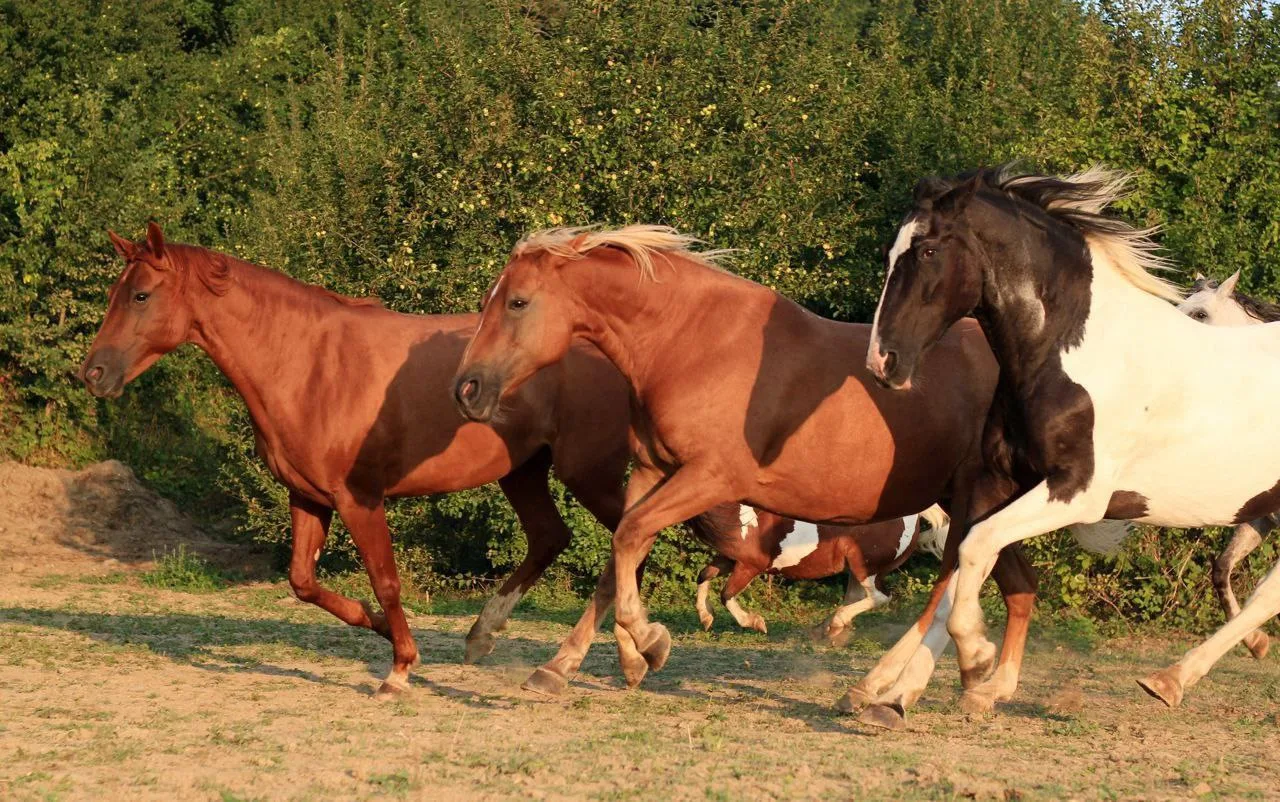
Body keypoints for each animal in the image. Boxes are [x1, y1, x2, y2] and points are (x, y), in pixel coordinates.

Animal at [79, 223, 631, 697]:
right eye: (113, 294)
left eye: (141, 295)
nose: (93, 373)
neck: (308, 364)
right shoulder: (308, 496)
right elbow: (303, 583)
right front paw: (382, 628)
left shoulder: (359, 498)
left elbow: (385, 580)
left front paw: (400, 668)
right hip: (524, 471)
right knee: (551, 537)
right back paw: (485, 636)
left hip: (589, 474)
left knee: (627, 539)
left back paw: (599, 662)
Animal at [691, 504, 949, 641]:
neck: (745, 517)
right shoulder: (729, 559)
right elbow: (704, 575)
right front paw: (705, 617)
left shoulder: (749, 565)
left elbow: (727, 594)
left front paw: (755, 622)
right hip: (856, 569)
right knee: (857, 597)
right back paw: (827, 627)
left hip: (865, 567)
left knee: (878, 597)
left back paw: (834, 623)